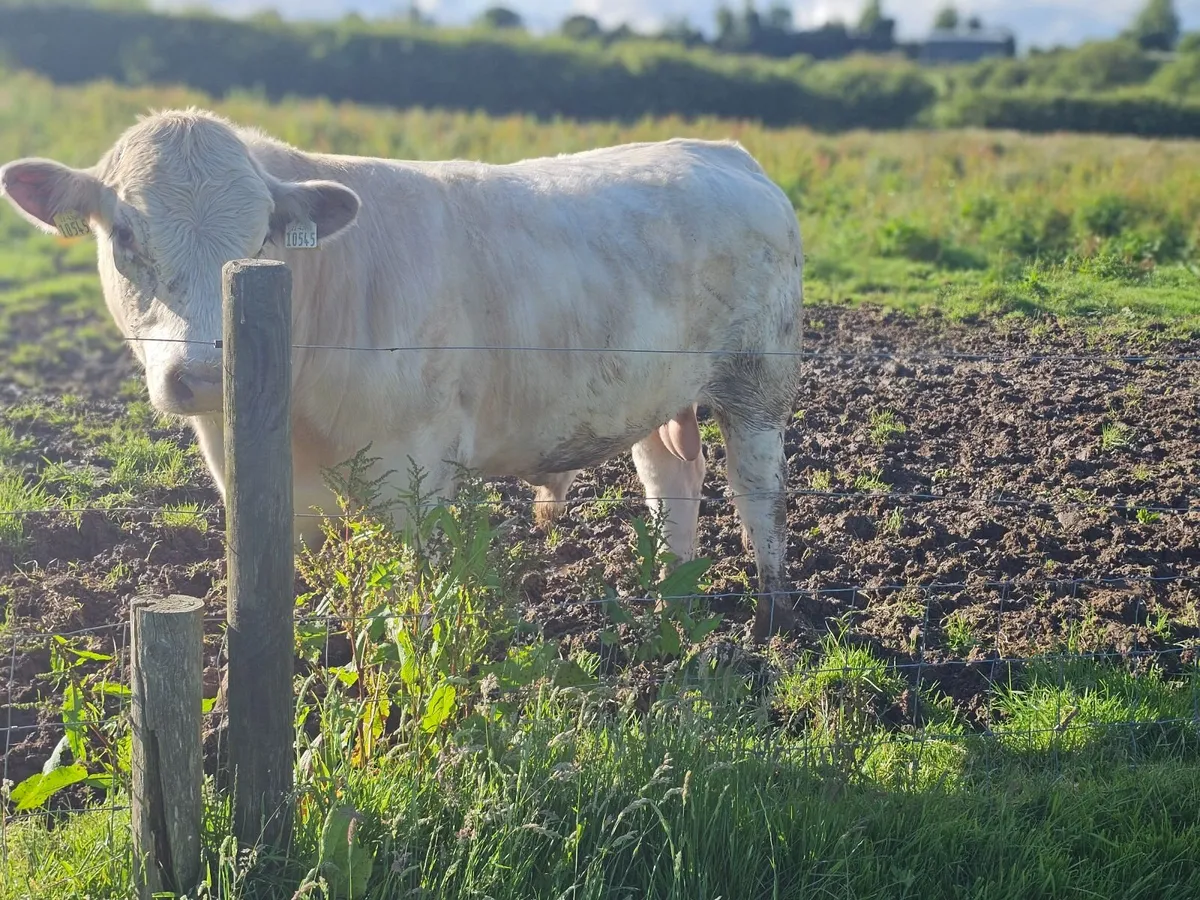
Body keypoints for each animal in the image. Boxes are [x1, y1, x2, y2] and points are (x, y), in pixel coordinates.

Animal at [0, 108, 805, 639]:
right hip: (654, 394)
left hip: (760, 381)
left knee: (756, 492)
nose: (201, 372)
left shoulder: (414, 471)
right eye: (123, 235)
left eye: (262, 238)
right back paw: (673, 602)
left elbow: (413, 608)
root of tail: (725, 152)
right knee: (672, 481)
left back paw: (769, 612)